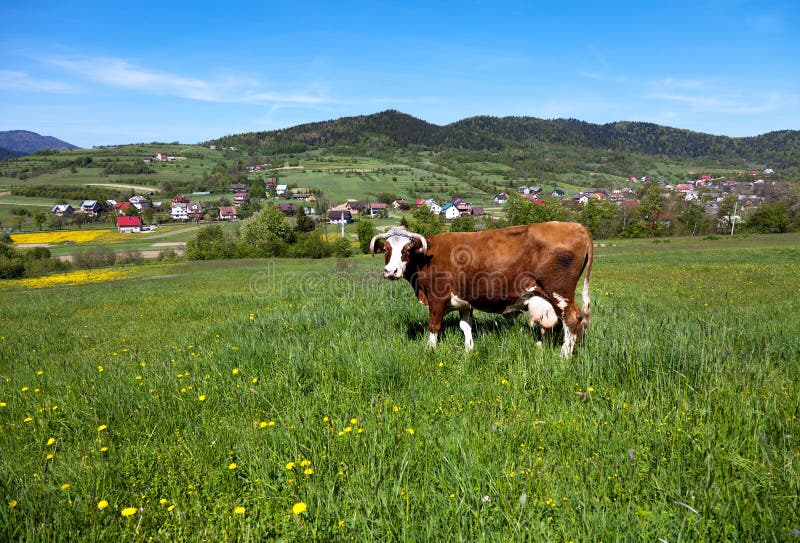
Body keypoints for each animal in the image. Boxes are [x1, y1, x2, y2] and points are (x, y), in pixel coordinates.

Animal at [372, 221, 592, 356]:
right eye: (386, 249)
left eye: (407, 249)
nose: (390, 271)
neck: (425, 258)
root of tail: (577, 226)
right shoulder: (463, 302)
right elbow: (465, 326)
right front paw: (468, 349)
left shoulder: (437, 298)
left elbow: (434, 326)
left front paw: (429, 350)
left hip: (560, 293)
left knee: (571, 320)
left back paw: (564, 355)